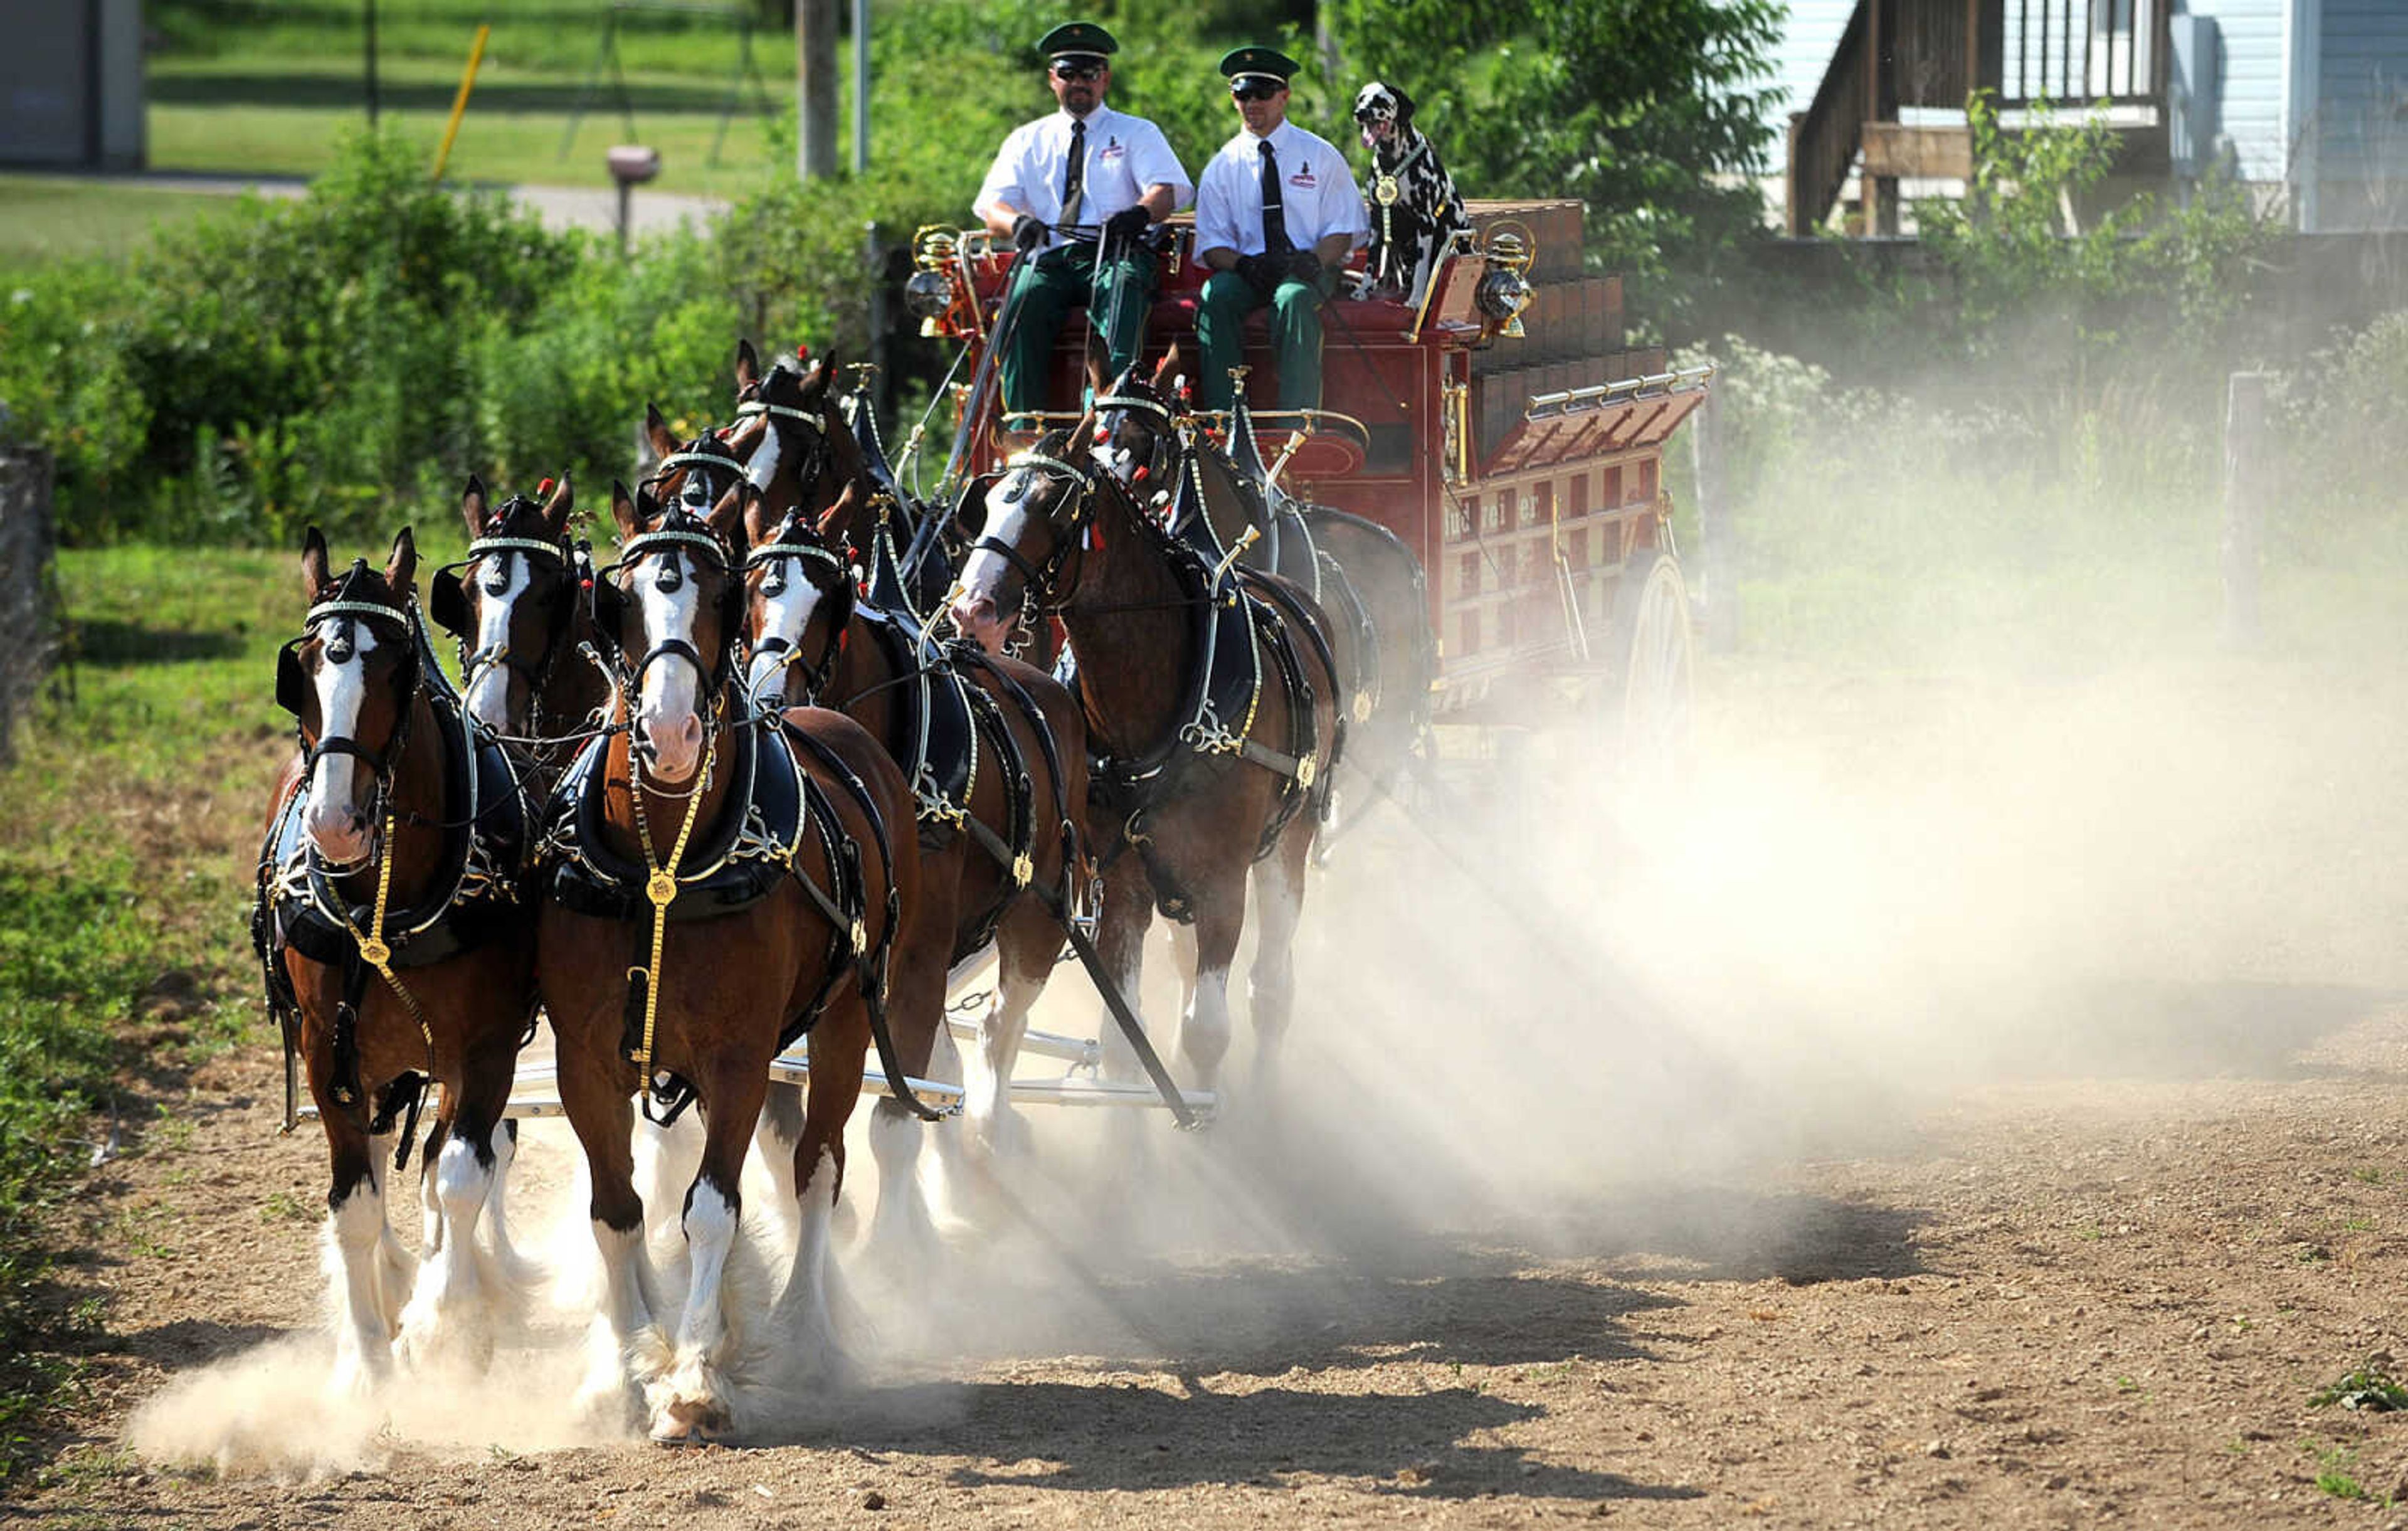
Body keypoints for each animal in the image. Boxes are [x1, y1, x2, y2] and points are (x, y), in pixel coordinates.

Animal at [1358, 84, 1464, 312]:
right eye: (1361, 99)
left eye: (1380, 100)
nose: (1359, 113)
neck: (1391, 161)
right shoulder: (1377, 222)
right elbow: (1371, 262)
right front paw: (1362, 290)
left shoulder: (1425, 224)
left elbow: (1422, 271)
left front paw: (1416, 300)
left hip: (1453, 248)